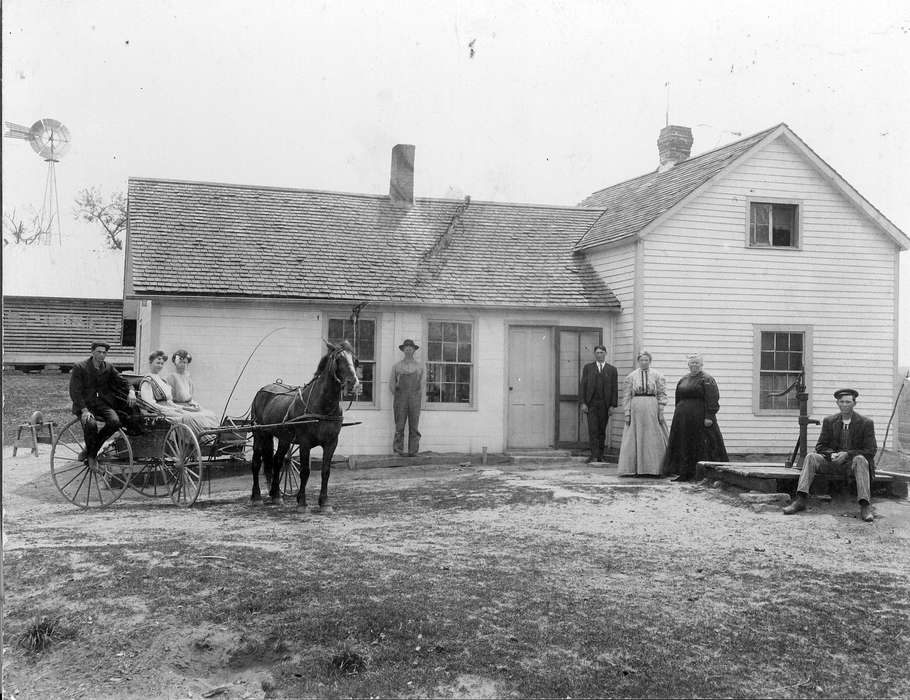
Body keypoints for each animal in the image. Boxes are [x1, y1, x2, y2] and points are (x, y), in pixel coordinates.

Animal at [253, 342, 364, 512]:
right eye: (338, 359)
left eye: (356, 360)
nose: (354, 384)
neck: (323, 406)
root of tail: (262, 391)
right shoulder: (305, 443)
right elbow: (305, 471)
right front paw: (302, 503)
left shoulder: (331, 443)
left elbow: (326, 471)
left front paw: (324, 502)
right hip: (260, 434)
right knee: (256, 462)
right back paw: (256, 497)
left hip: (284, 438)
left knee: (278, 461)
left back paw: (276, 496)